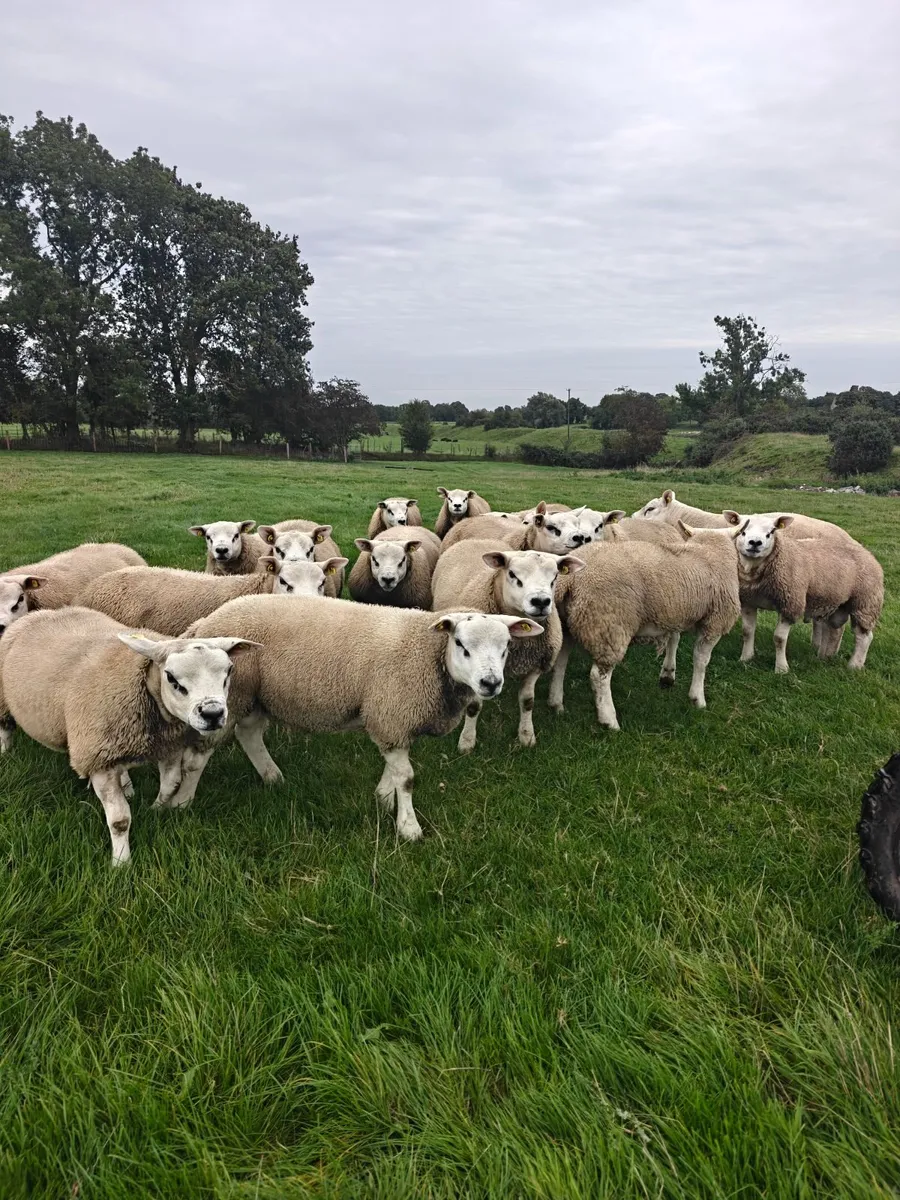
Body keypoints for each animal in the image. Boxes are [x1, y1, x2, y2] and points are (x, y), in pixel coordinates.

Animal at [0, 607, 257, 864]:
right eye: (171, 678)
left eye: (229, 672)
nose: (213, 713)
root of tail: (43, 612)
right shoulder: (99, 759)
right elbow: (119, 821)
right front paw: (121, 863)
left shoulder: (168, 746)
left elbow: (170, 785)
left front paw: (157, 810)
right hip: (6, 704)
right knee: (5, 728)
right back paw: (5, 753)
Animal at [185, 596, 543, 841]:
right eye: (460, 643)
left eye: (507, 646)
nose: (490, 683)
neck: (427, 652)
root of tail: (204, 623)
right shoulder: (392, 713)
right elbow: (407, 777)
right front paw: (409, 828)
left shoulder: (393, 718)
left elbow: (394, 769)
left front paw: (384, 799)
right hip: (232, 696)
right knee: (198, 755)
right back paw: (182, 802)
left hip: (257, 695)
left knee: (249, 735)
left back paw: (273, 777)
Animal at [432, 540, 585, 751]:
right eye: (512, 574)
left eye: (555, 576)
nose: (541, 601)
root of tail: (478, 539)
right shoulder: (475, 670)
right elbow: (474, 707)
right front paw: (467, 741)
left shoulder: (534, 666)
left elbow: (527, 701)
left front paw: (526, 735)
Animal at [550, 532, 741, 729]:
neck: (708, 549)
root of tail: (569, 579)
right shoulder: (715, 621)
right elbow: (701, 660)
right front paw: (698, 698)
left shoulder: (674, 613)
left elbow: (674, 640)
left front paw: (668, 675)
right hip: (608, 626)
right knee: (598, 676)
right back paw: (609, 720)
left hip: (566, 625)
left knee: (560, 662)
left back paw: (556, 703)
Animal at [731, 514, 883, 672]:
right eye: (742, 531)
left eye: (771, 532)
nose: (755, 543)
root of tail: (868, 553)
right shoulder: (748, 602)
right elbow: (747, 631)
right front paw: (745, 658)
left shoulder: (790, 604)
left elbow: (779, 639)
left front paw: (781, 668)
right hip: (836, 601)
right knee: (833, 629)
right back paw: (824, 656)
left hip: (865, 602)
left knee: (863, 636)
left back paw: (854, 665)